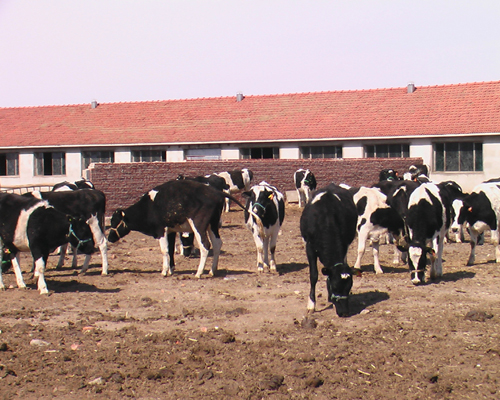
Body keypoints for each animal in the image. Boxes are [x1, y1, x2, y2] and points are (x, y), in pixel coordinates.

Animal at [107, 180, 244, 278]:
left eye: (114, 222)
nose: (109, 237)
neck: (148, 207)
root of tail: (216, 192)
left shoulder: (161, 231)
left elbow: (164, 250)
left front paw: (164, 271)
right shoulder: (171, 231)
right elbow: (171, 250)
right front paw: (171, 269)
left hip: (199, 225)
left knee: (205, 245)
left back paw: (199, 272)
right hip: (213, 225)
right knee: (217, 244)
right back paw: (212, 270)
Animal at [298, 183, 358, 318]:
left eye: (349, 287)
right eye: (335, 286)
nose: (344, 313)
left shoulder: (344, 243)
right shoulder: (309, 248)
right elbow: (314, 275)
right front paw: (311, 304)